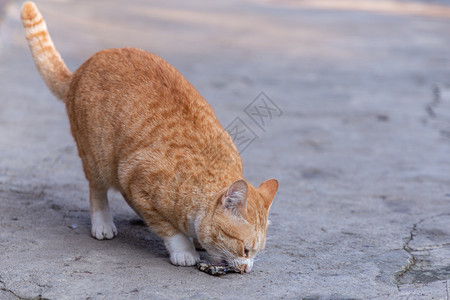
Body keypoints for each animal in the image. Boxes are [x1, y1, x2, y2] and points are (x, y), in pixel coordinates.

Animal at [22, 1, 280, 274]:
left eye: (256, 252)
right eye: (245, 249)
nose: (247, 269)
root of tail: (81, 68)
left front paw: (199, 241)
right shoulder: (137, 182)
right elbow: (168, 228)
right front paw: (185, 250)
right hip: (97, 157)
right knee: (97, 189)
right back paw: (103, 223)